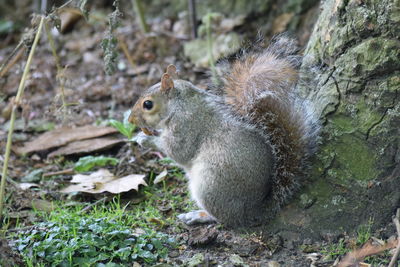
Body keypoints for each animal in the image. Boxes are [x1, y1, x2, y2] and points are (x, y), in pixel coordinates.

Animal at [128, 35, 318, 228]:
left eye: (148, 104)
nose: (130, 120)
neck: (180, 103)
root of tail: (254, 211)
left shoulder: (186, 125)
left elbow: (177, 151)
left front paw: (145, 139)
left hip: (210, 186)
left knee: (223, 219)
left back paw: (197, 216)